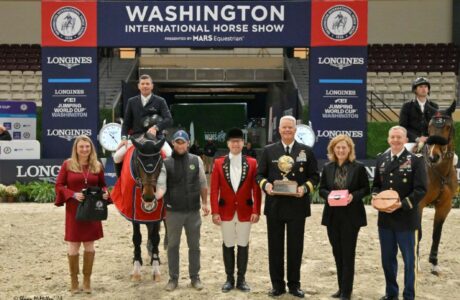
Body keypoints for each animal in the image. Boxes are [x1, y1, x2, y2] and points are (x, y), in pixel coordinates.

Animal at [112, 133, 167, 282]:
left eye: (160, 162)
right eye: (138, 162)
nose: (148, 197)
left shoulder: (158, 214)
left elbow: (155, 237)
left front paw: (156, 268)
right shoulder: (133, 213)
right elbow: (137, 238)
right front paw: (136, 269)